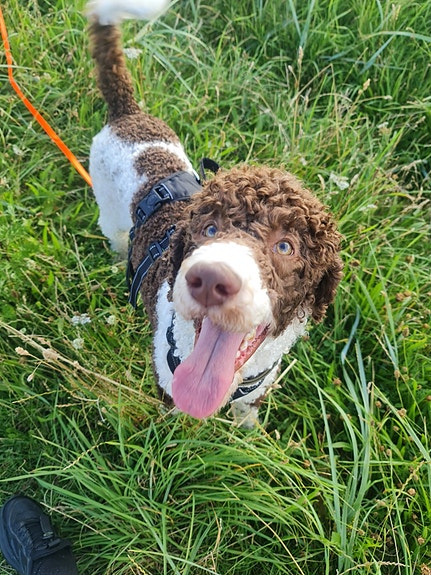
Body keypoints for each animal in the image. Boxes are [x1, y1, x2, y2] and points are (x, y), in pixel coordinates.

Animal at [86, 0, 343, 426]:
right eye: (208, 228)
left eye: (286, 246)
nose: (209, 279)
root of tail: (127, 114)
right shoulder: (167, 383)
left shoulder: (258, 386)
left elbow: (247, 414)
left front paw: (246, 431)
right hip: (108, 211)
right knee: (116, 237)